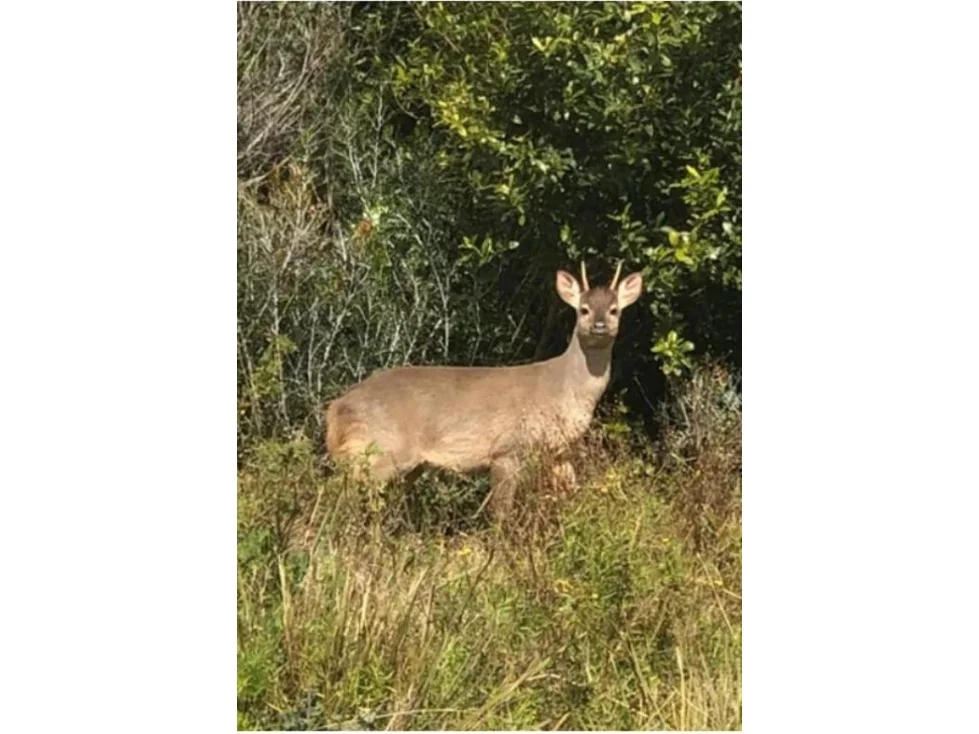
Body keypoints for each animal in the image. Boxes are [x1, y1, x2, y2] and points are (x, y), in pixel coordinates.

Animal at [324, 262, 643, 518]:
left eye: (614, 309)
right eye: (583, 309)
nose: (599, 326)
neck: (563, 390)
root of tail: (336, 408)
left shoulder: (560, 452)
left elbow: (571, 496)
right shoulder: (508, 448)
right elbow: (501, 512)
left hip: (399, 464)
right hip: (377, 449)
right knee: (341, 494)